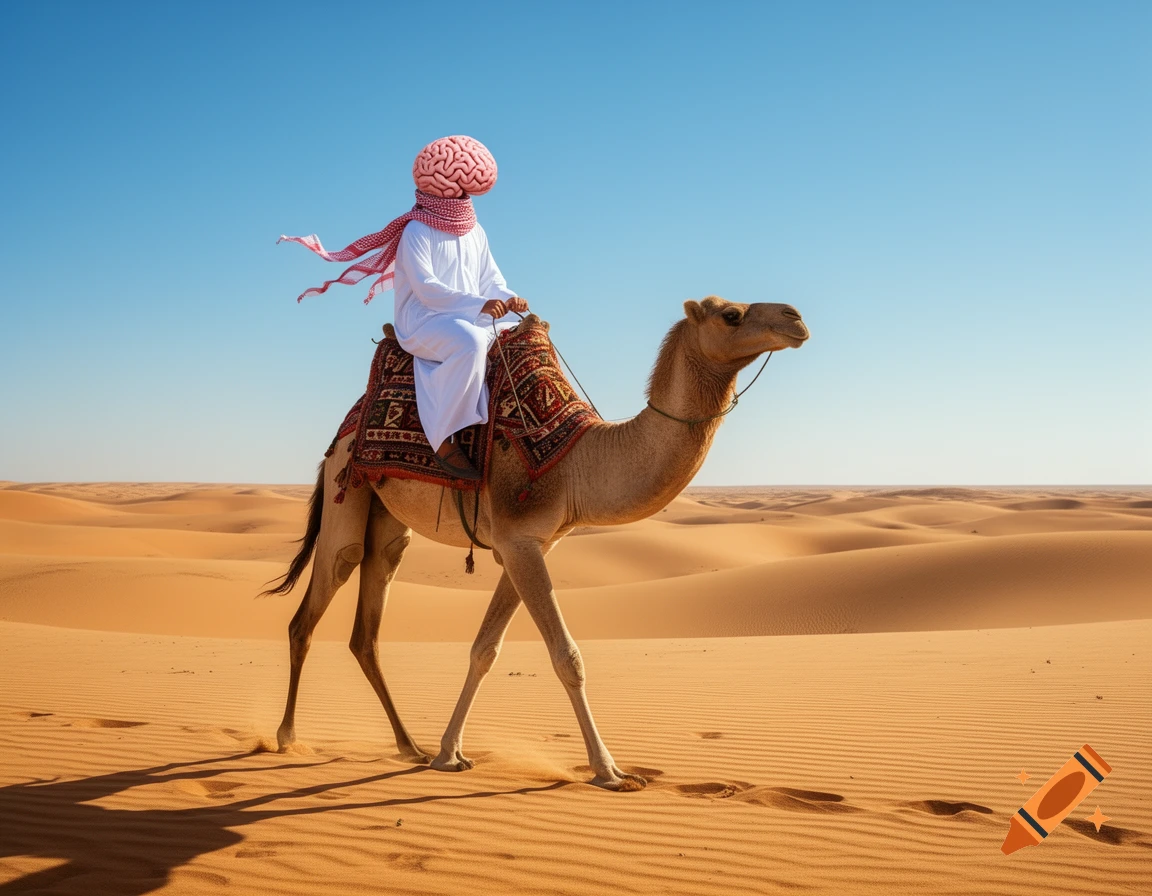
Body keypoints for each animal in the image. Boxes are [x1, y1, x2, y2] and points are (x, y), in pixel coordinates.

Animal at [266, 296, 809, 790]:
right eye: (731, 315)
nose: (796, 318)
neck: (577, 462)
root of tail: (348, 424)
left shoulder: (530, 544)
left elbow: (484, 649)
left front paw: (447, 753)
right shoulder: (519, 540)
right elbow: (567, 657)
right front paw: (609, 771)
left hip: (387, 519)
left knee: (369, 621)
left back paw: (409, 746)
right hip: (347, 483)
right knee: (316, 600)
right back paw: (287, 737)